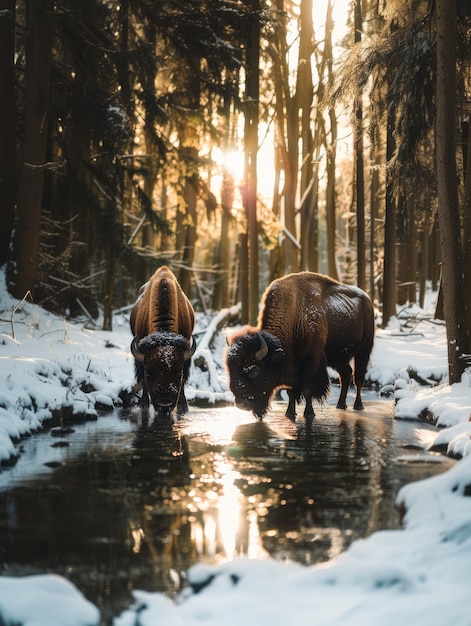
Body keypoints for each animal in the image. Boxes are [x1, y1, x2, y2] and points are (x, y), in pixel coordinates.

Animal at [129, 264, 195, 414]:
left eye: (178, 372)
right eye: (149, 373)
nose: (165, 404)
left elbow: (183, 381)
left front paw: (183, 408)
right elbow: (143, 381)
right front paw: (144, 406)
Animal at [226, 272, 376, 422]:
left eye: (254, 370)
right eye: (230, 370)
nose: (241, 404)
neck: (295, 315)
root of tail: (368, 300)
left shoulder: (312, 362)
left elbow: (307, 390)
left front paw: (309, 414)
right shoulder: (292, 368)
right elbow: (291, 392)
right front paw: (290, 413)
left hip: (364, 350)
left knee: (358, 377)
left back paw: (358, 405)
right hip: (339, 357)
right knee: (346, 374)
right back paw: (340, 404)